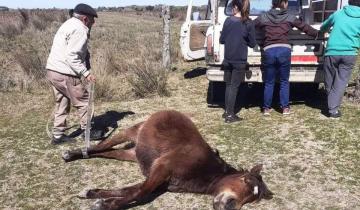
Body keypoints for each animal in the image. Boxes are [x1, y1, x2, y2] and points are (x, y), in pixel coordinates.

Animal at [62, 110, 272, 209]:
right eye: (245, 180)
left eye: (253, 198)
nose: (230, 206)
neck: (203, 169)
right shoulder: (162, 169)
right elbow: (140, 192)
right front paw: (105, 205)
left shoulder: (160, 179)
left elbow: (129, 190)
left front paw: (92, 194)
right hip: (129, 132)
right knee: (101, 146)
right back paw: (71, 154)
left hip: (133, 155)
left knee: (107, 152)